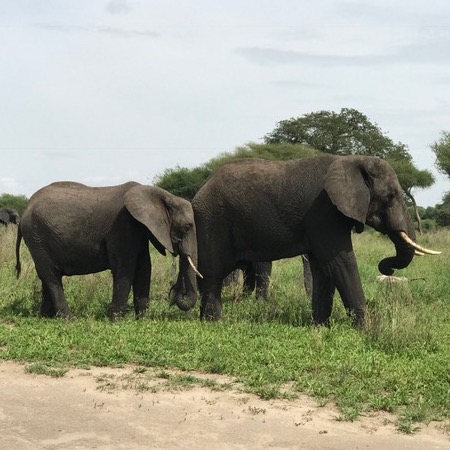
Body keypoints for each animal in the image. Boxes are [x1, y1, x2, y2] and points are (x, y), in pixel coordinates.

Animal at [15, 181, 200, 318]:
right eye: (187, 227)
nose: (175, 292)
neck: (162, 195)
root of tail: (26, 209)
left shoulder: (139, 230)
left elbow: (144, 268)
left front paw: (142, 319)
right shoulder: (122, 225)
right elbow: (125, 268)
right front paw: (116, 320)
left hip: (38, 238)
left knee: (45, 275)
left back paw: (46, 317)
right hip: (37, 235)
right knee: (51, 276)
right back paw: (69, 319)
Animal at [193, 155, 440, 326]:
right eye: (390, 197)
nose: (387, 268)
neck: (352, 160)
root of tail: (201, 187)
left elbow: (324, 267)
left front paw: (321, 326)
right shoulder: (323, 211)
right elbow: (340, 261)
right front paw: (366, 328)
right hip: (213, 219)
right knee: (213, 271)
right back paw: (214, 321)